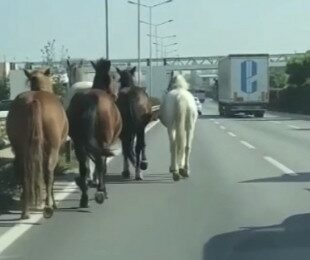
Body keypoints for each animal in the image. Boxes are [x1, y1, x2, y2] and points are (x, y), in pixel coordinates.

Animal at [6, 68, 69, 218]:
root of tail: (34, 100)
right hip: (52, 149)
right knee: (49, 172)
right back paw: (48, 205)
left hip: (20, 149)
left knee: (23, 172)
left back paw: (25, 210)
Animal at [66, 59, 121, 207]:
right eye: (114, 77)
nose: (116, 95)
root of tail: (90, 100)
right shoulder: (106, 143)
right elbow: (102, 164)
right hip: (102, 141)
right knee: (100, 162)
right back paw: (100, 191)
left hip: (79, 143)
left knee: (83, 166)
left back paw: (84, 196)